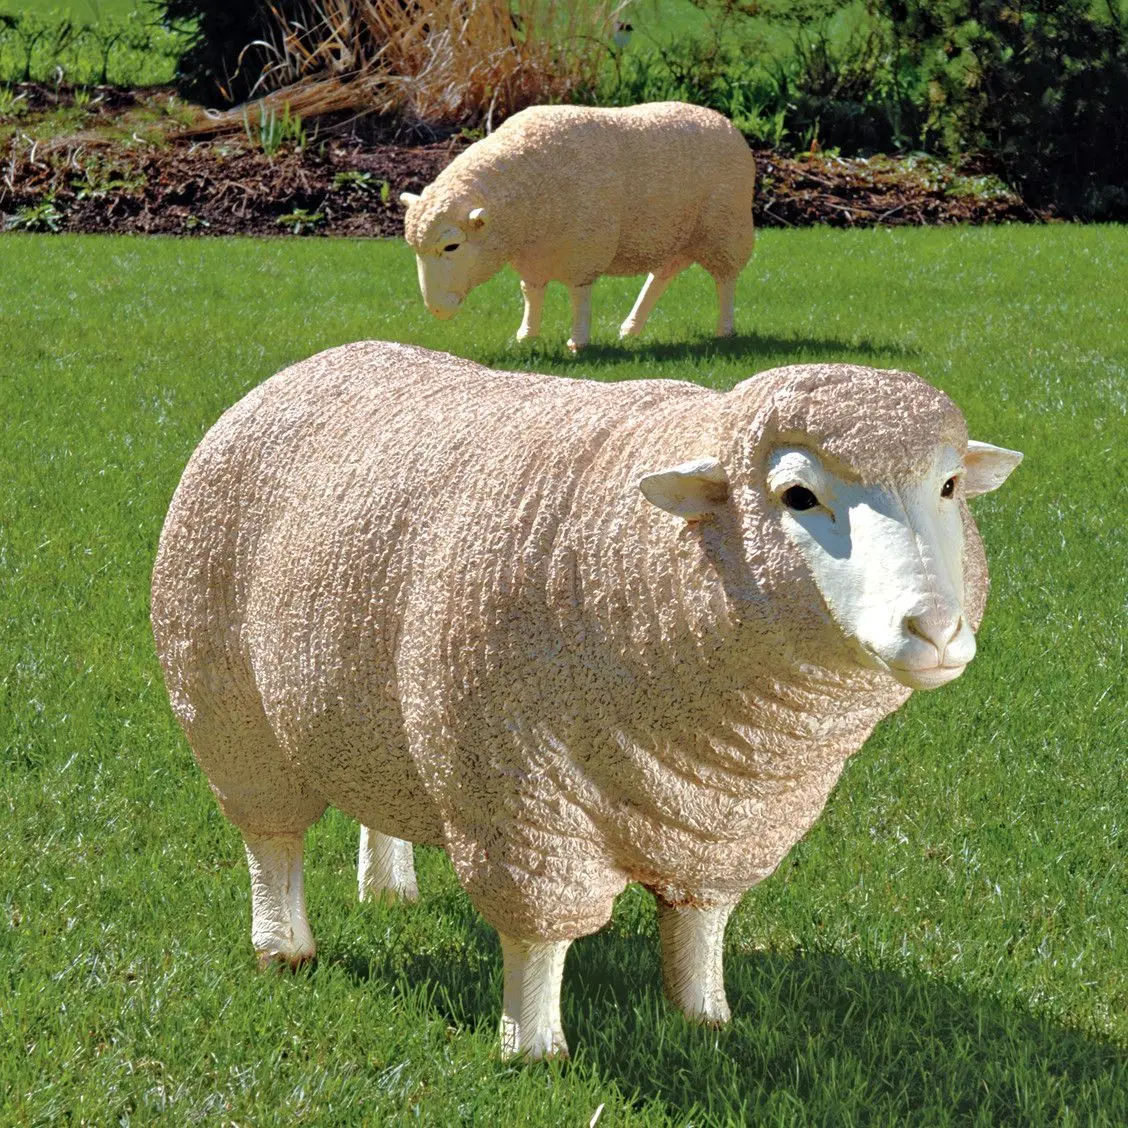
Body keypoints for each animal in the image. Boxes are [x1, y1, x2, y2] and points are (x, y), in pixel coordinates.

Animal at [151, 341, 1023, 1060]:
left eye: (948, 485)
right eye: (798, 495)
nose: (936, 630)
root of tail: (309, 364)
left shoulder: (726, 817)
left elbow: (701, 922)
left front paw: (704, 1015)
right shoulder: (518, 798)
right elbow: (539, 940)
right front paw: (533, 1047)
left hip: (363, 697)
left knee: (373, 794)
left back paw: (389, 889)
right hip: (226, 705)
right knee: (271, 842)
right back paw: (284, 945)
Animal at [399, 102, 757, 351]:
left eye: (452, 246)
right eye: (413, 249)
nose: (436, 309)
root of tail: (723, 121)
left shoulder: (584, 249)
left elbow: (578, 294)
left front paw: (578, 342)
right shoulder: (533, 254)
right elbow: (531, 292)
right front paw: (526, 335)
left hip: (726, 227)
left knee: (726, 280)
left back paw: (725, 330)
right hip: (676, 233)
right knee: (662, 274)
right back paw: (631, 327)